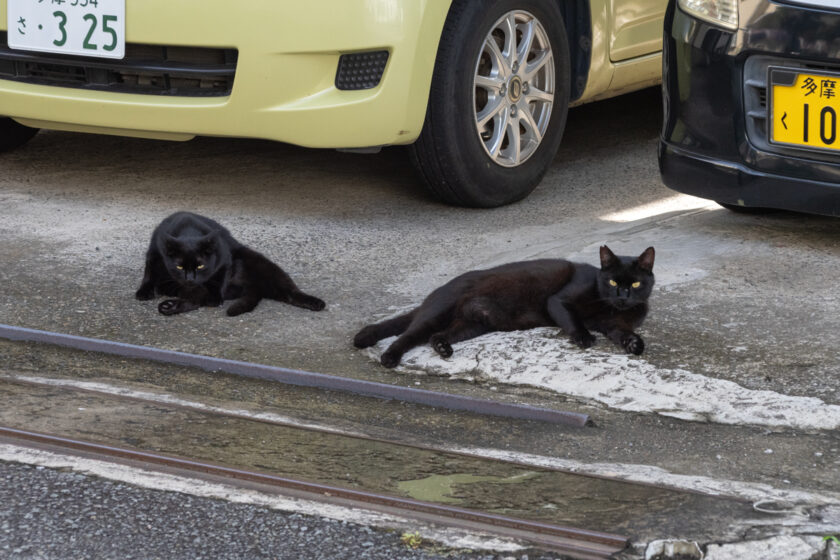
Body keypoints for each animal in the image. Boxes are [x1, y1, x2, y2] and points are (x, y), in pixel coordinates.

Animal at [135, 211, 324, 318]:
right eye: (180, 267)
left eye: (201, 266)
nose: (190, 278)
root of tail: (255, 287)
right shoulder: (154, 253)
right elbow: (148, 273)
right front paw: (144, 291)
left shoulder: (224, 258)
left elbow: (217, 282)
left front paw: (213, 298)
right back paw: (171, 306)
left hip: (264, 266)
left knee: (290, 291)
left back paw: (315, 303)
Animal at [352, 245, 652, 368]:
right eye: (612, 281)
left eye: (636, 284)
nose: (623, 295)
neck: (612, 307)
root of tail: (434, 293)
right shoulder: (559, 300)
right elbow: (572, 318)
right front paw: (583, 337)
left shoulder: (613, 324)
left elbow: (622, 333)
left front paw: (634, 344)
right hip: (438, 313)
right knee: (408, 336)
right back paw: (390, 358)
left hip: (472, 324)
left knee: (437, 336)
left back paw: (443, 349)